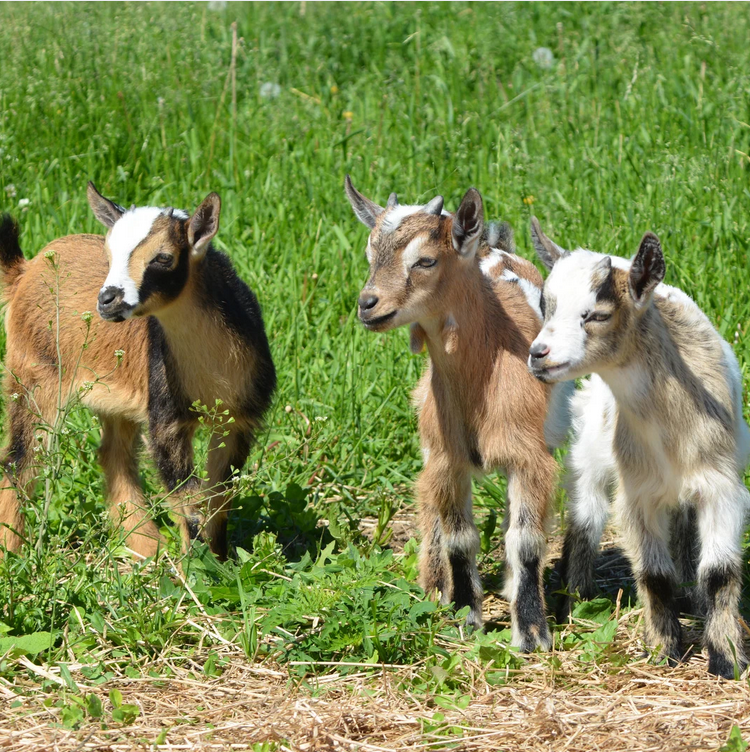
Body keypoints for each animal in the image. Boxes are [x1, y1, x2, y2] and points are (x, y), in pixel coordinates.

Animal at [0, 182, 276, 560]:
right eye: (109, 254)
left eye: (163, 257)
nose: (107, 299)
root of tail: (26, 269)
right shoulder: (167, 419)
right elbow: (187, 499)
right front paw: (196, 567)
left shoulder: (238, 419)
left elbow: (218, 497)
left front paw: (222, 561)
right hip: (33, 373)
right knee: (21, 457)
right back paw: (11, 551)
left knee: (113, 455)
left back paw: (146, 545)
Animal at [346, 179, 568, 648]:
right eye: (371, 255)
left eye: (425, 260)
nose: (368, 304)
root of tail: (494, 247)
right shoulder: (448, 460)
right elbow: (459, 538)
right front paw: (466, 616)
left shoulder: (530, 458)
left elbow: (525, 541)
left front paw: (532, 632)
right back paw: (433, 587)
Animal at [532, 220, 748, 680]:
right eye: (546, 307)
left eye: (597, 314)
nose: (537, 355)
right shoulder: (637, 493)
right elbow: (653, 574)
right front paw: (664, 650)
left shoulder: (721, 486)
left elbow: (719, 573)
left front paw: (727, 659)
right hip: (589, 456)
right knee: (585, 519)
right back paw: (576, 600)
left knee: (684, 525)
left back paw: (691, 600)